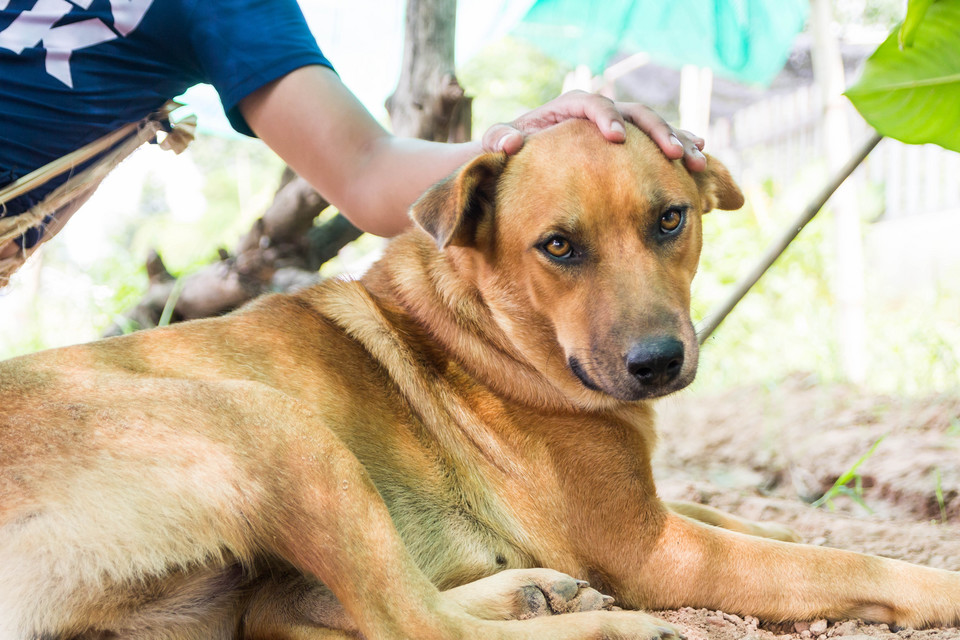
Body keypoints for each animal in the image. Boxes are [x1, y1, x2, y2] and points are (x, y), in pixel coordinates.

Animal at [1, 121, 960, 640]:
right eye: (558, 246)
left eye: (671, 220)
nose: (658, 364)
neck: (479, 328)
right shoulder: (651, 549)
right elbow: (837, 559)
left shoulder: (648, 511)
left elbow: (750, 520)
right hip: (271, 423)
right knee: (408, 622)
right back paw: (603, 622)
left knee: (329, 613)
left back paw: (529, 591)